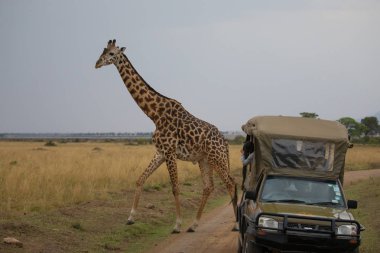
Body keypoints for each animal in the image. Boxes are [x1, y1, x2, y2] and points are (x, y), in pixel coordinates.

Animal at [95, 40, 238, 233]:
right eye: (103, 51)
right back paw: (194, 224)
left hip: (217, 158)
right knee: (209, 187)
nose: (97, 64)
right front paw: (130, 218)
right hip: (205, 160)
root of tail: (225, 142)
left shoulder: (170, 151)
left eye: (111, 53)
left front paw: (177, 225)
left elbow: (175, 187)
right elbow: (140, 179)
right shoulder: (161, 152)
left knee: (231, 183)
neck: (154, 113)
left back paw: (236, 224)